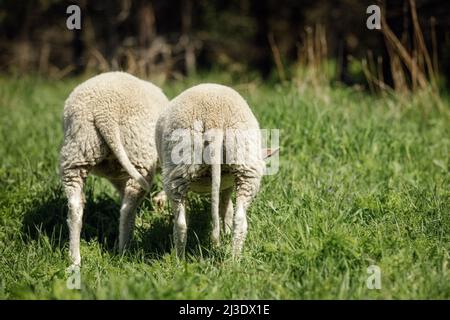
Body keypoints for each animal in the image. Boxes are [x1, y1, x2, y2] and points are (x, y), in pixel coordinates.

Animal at [60, 72, 170, 264]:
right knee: (127, 208)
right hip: (138, 153)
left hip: (78, 150)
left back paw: (75, 259)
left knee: (75, 206)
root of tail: (104, 113)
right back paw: (124, 250)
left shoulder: (118, 177)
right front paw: (160, 200)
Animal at [156, 83, 272, 258]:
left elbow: (225, 207)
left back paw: (179, 259)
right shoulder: (227, 183)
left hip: (178, 167)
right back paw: (234, 259)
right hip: (245, 163)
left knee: (181, 223)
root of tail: (214, 118)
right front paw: (226, 231)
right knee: (240, 219)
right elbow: (226, 208)